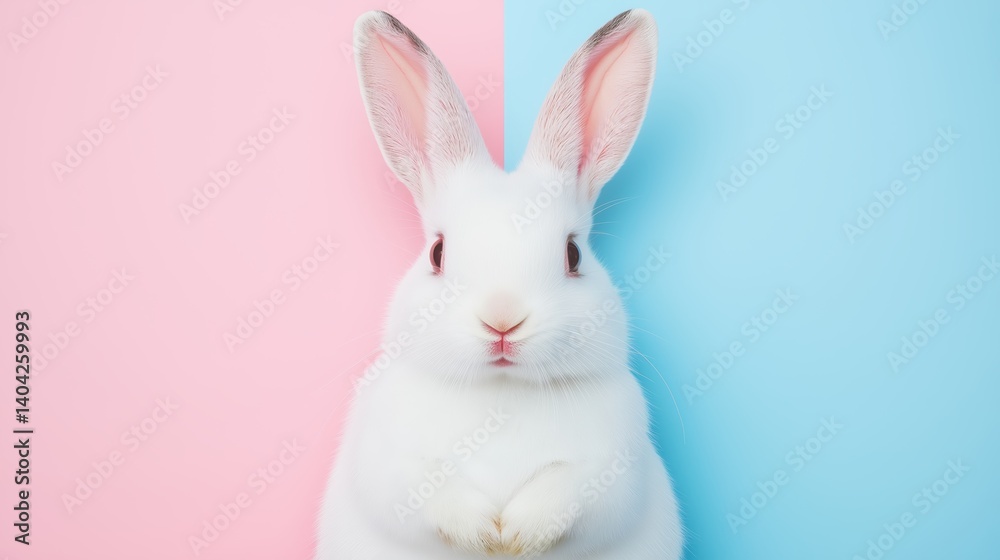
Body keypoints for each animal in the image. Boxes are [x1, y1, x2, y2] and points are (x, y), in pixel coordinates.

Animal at [317, 8, 682, 560]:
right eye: (437, 253)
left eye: (573, 255)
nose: (502, 319)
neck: (503, 392)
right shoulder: (390, 462)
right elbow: (425, 494)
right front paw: (487, 534)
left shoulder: (611, 470)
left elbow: (570, 496)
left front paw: (515, 536)